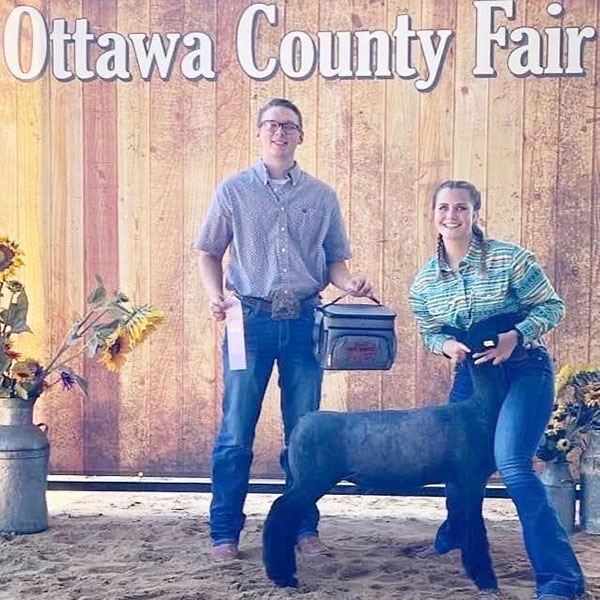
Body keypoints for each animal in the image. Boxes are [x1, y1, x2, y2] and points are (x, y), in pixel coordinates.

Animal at [260, 314, 524, 592]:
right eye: (497, 320)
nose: (521, 319)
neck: (482, 407)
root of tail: (297, 429)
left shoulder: (458, 481)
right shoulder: (471, 478)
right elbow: (475, 530)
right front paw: (487, 581)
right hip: (311, 479)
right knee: (279, 512)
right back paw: (283, 576)